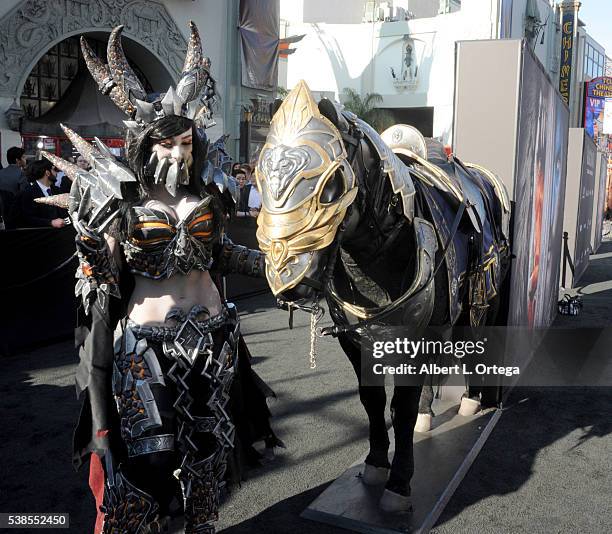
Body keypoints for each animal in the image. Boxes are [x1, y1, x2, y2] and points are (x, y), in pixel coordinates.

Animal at [253, 81, 512, 512]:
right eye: (259, 179)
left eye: (331, 187)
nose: (286, 278)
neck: (380, 252)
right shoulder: (357, 341)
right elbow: (372, 401)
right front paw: (376, 464)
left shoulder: (417, 336)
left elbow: (400, 410)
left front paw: (399, 484)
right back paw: (430, 413)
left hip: (484, 298)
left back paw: (473, 400)